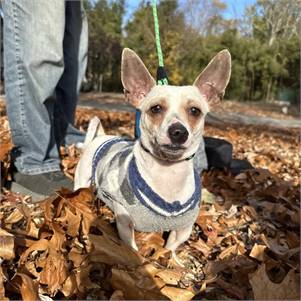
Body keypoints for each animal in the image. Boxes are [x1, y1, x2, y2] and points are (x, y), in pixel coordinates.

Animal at [74, 48, 231, 253]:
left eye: (195, 111)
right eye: (156, 108)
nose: (178, 132)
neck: (168, 173)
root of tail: (101, 136)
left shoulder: (183, 229)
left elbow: (170, 248)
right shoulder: (124, 220)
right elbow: (132, 248)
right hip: (81, 181)